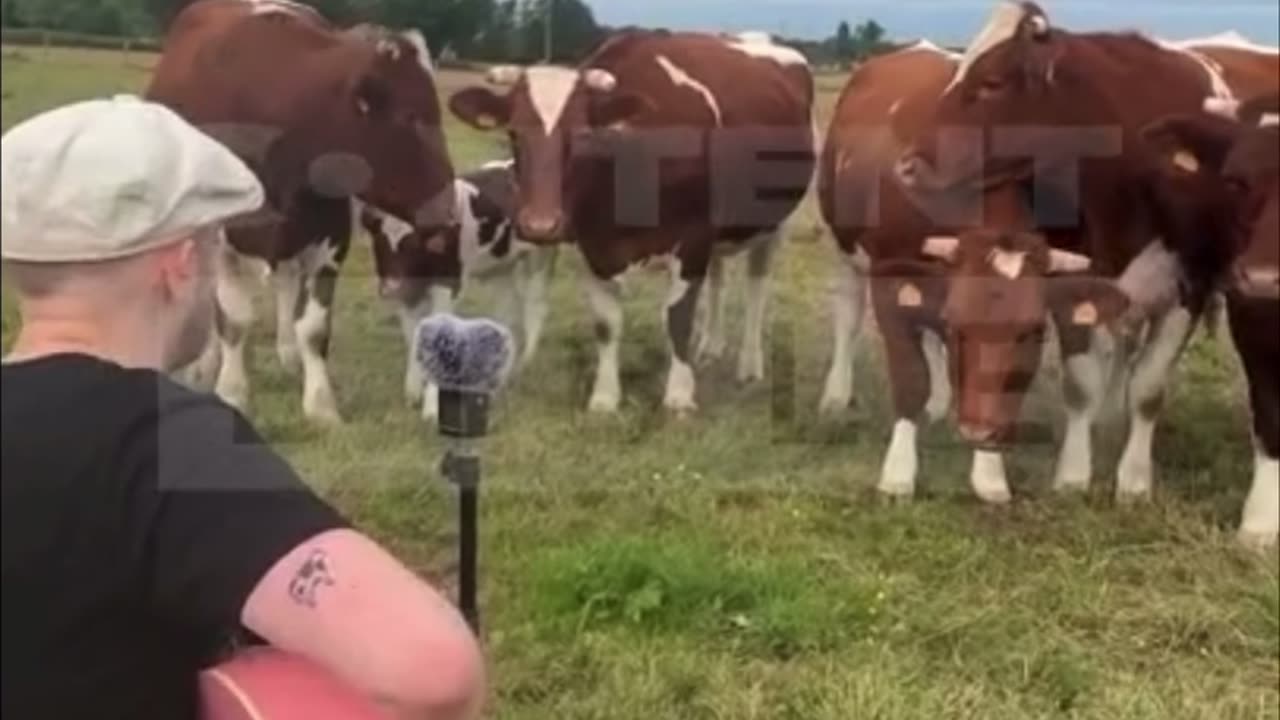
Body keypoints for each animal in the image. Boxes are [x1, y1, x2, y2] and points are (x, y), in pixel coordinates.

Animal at [144, 0, 455, 422]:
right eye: (410, 116)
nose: (449, 204)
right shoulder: (228, 237)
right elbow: (233, 321)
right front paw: (232, 392)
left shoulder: (330, 236)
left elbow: (314, 326)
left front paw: (321, 404)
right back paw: (204, 366)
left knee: (286, 284)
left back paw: (289, 355)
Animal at [360, 160, 560, 420]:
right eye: (379, 242)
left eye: (413, 244)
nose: (391, 287)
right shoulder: (409, 294)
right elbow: (415, 339)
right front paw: (413, 393)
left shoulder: (449, 285)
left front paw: (431, 409)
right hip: (501, 267)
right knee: (507, 312)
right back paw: (498, 379)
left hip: (541, 256)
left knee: (535, 307)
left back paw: (522, 368)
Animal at [445, 30, 814, 415]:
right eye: (514, 134)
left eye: (583, 134)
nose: (540, 225)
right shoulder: (592, 247)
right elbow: (606, 325)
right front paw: (605, 398)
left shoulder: (693, 239)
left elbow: (678, 319)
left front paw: (679, 395)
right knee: (718, 277)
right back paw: (711, 348)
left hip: (774, 225)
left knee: (757, 287)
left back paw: (749, 365)